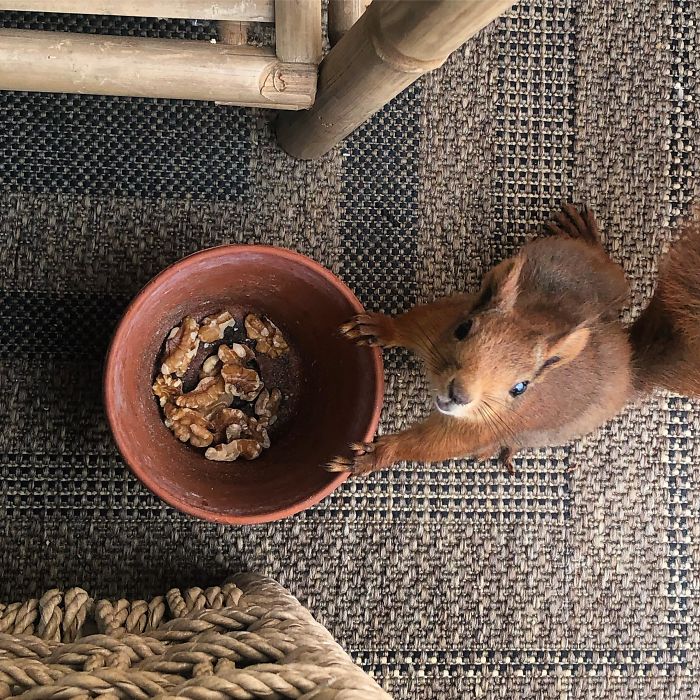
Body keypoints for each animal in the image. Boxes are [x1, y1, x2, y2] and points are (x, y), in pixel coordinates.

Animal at [327, 204, 700, 476]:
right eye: (463, 329)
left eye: (520, 388)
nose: (459, 394)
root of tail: (630, 361)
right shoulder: (439, 320)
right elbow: (409, 325)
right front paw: (379, 328)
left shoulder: (482, 424)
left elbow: (433, 444)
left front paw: (373, 455)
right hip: (592, 270)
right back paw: (584, 236)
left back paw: (500, 449)